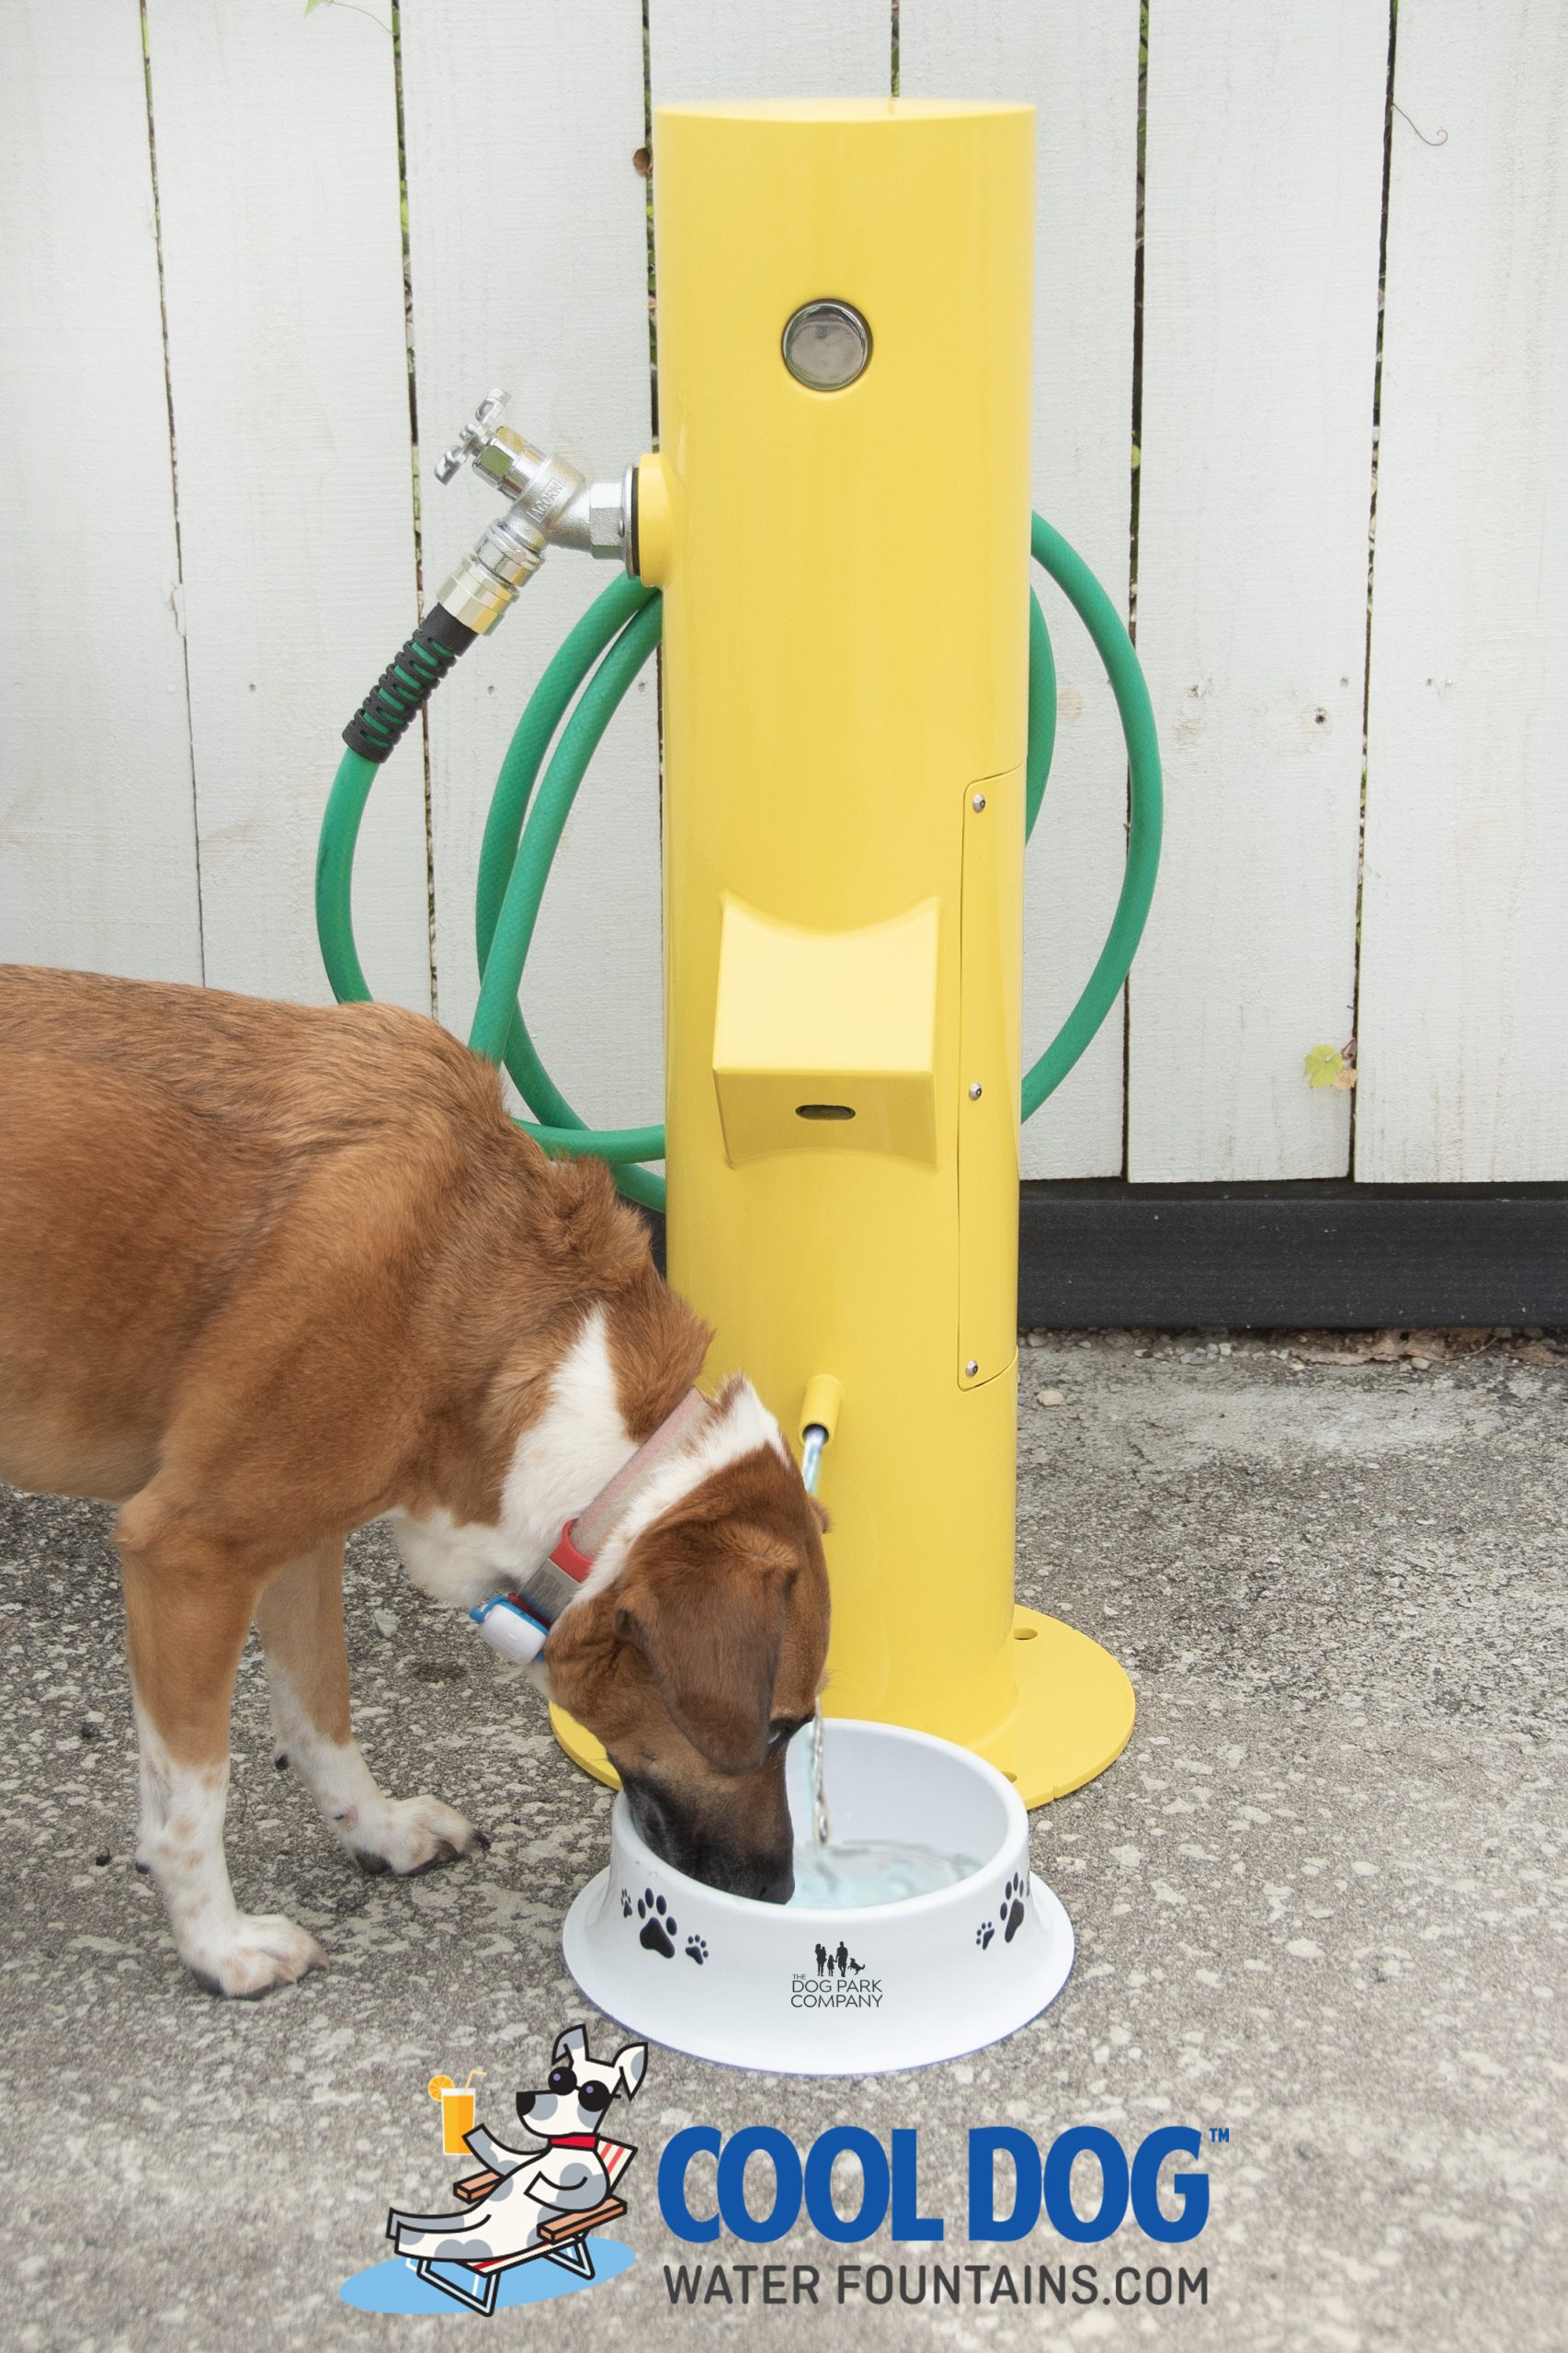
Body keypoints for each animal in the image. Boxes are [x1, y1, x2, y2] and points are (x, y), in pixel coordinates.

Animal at [0, 964, 828, 1995]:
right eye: (776, 1731)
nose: (778, 1892)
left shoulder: (298, 1546)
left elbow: (319, 1708)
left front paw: (378, 1831)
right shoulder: (190, 1556)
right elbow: (193, 1796)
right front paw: (217, 1945)